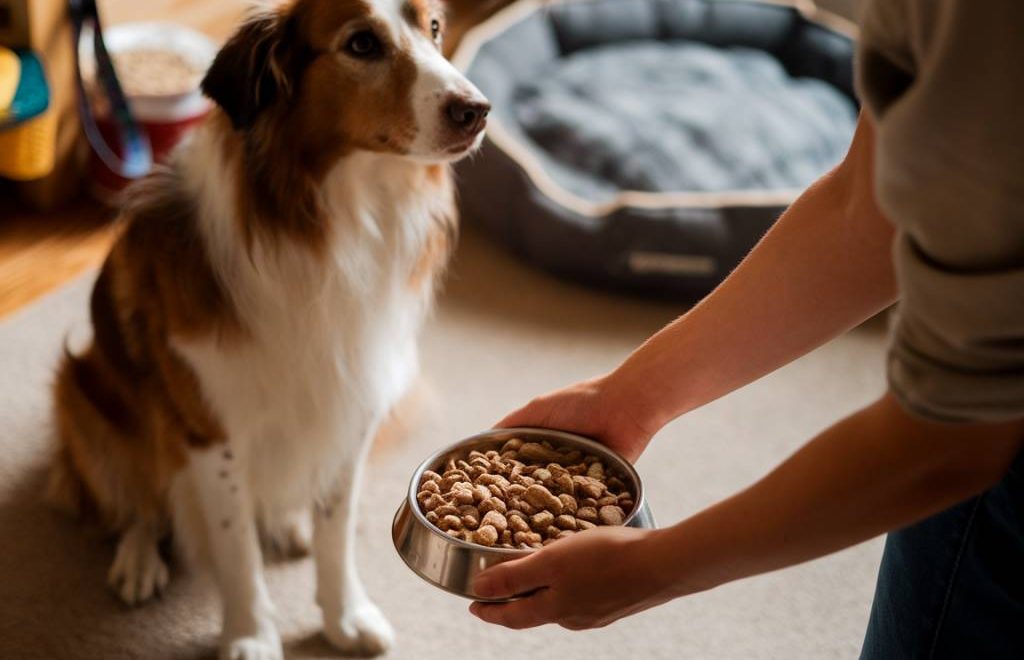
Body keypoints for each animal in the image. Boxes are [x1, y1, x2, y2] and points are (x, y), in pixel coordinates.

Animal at [49, 2, 489, 654]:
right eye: (362, 44)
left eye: (434, 28)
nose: (477, 110)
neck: (340, 217)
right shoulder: (211, 429)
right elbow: (236, 549)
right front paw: (251, 635)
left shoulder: (349, 408)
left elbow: (335, 531)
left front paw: (343, 616)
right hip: (83, 393)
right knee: (140, 501)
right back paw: (139, 558)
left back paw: (285, 522)